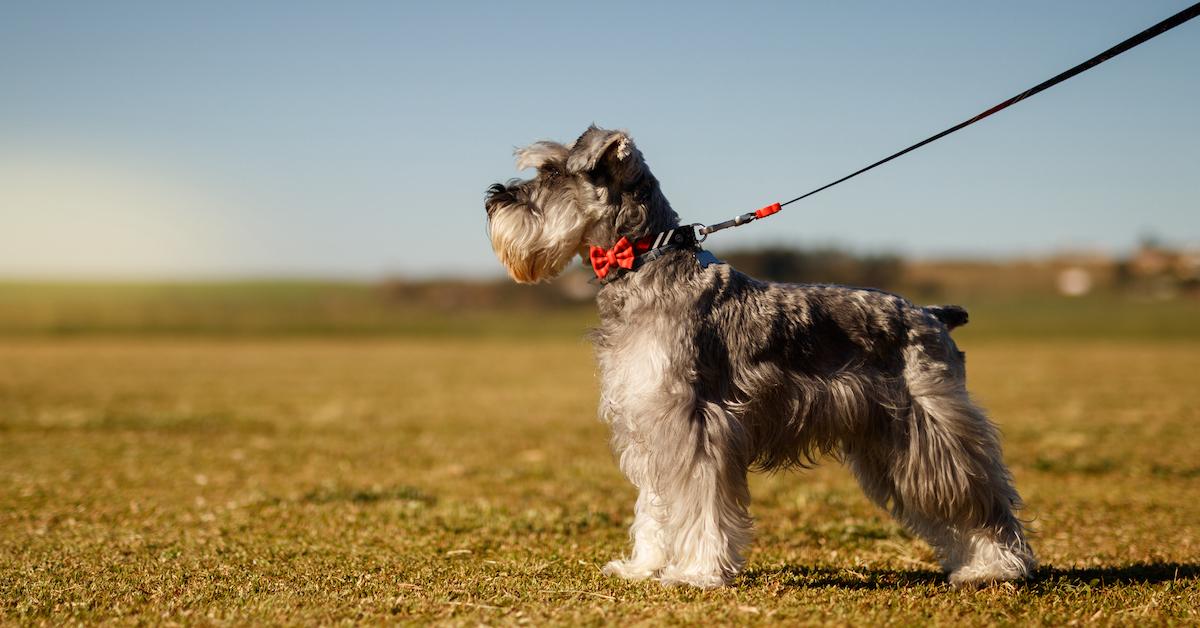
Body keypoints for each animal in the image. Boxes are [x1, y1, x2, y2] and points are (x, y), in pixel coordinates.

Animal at [482, 125, 1036, 588]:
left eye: (552, 173)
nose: (493, 198)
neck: (644, 263)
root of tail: (932, 315)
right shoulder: (650, 423)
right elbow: (656, 506)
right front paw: (644, 566)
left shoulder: (694, 425)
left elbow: (699, 505)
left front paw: (697, 574)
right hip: (889, 444)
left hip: (931, 435)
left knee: (986, 502)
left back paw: (996, 567)